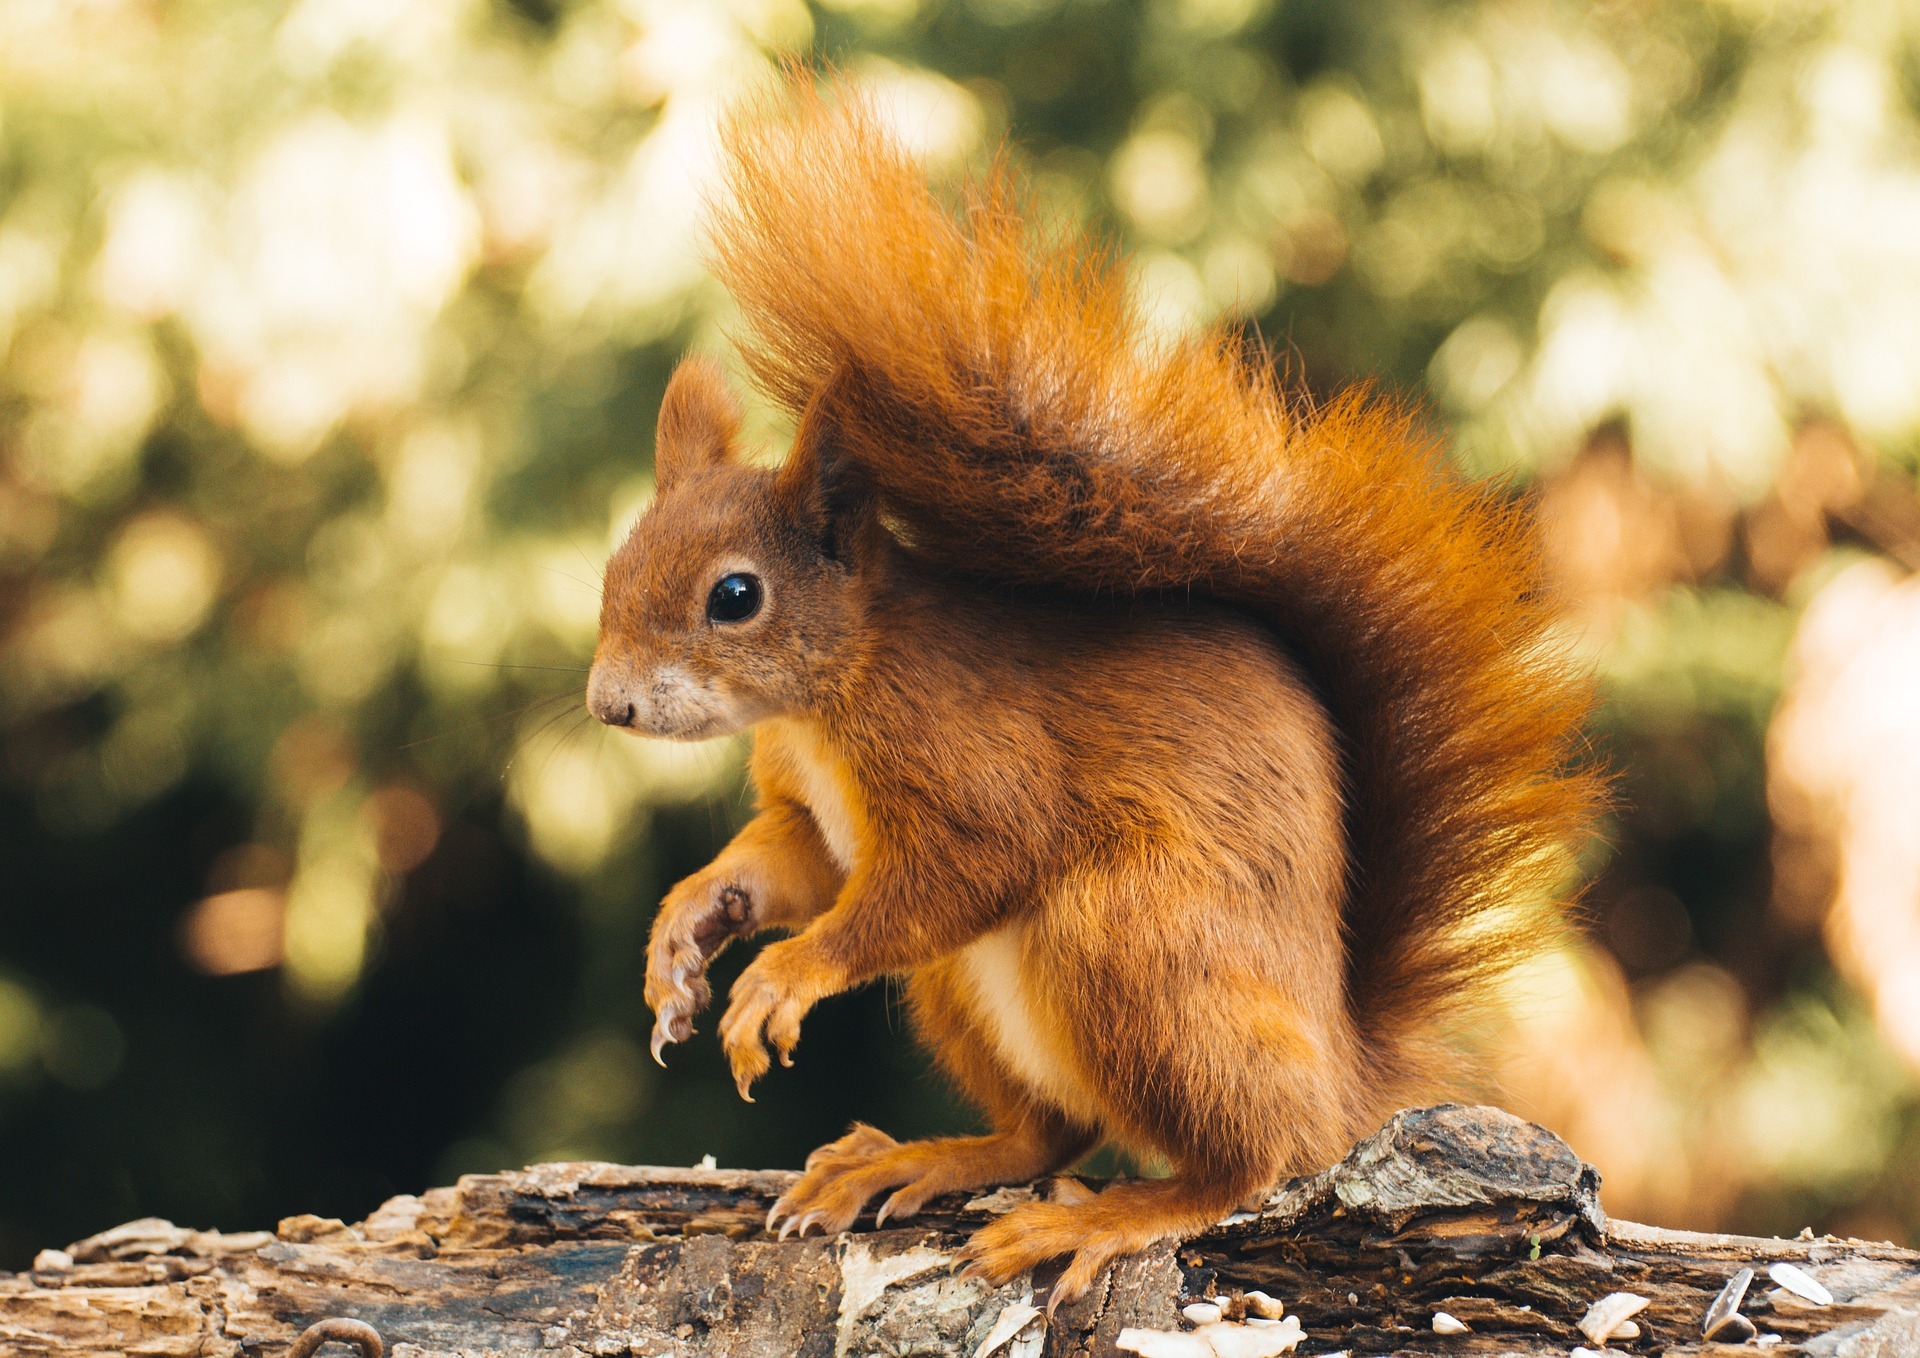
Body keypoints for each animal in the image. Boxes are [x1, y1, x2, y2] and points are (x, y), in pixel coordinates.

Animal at [585, 77, 1602, 1304]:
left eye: (735, 596)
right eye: (614, 564)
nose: (608, 704)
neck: (832, 696)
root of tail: (1341, 1073)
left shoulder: (971, 754)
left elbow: (963, 862)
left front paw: (787, 971)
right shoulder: (810, 809)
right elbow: (795, 865)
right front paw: (687, 930)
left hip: (1129, 942)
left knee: (1247, 1159)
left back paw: (1110, 1217)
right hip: (969, 989)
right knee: (1050, 1132)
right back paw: (924, 1157)